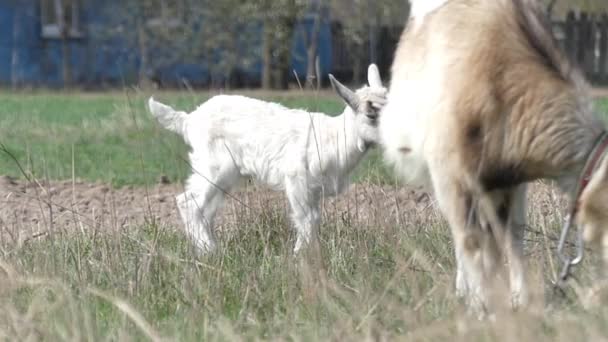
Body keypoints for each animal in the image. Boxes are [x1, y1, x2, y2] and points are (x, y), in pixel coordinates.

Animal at [382, 0, 608, 316]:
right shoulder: (451, 176)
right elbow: (471, 241)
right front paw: (480, 309)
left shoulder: (510, 180)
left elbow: (511, 236)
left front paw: (518, 301)